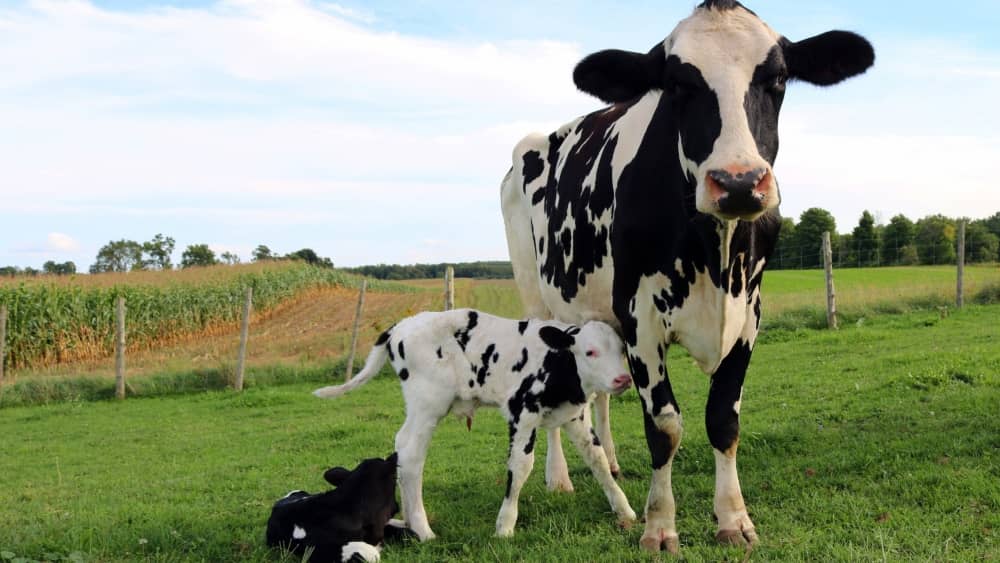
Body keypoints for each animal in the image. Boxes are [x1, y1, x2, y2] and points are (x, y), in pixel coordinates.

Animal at [316, 310, 636, 540]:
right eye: (590, 352)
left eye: (621, 349)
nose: (623, 379)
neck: (558, 364)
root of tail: (401, 326)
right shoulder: (521, 412)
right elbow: (521, 466)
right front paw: (505, 526)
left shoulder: (574, 415)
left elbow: (598, 460)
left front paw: (624, 510)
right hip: (428, 404)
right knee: (410, 454)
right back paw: (423, 529)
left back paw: (409, 521)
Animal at [504, 0, 872, 556]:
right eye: (677, 85)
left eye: (778, 77)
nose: (739, 182)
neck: (712, 254)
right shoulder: (640, 318)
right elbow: (664, 426)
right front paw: (659, 526)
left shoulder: (749, 314)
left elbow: (723, 419)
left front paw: (733, 519)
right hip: (536, 297)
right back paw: (559, 478)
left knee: (601, 395)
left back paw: (610, 460)